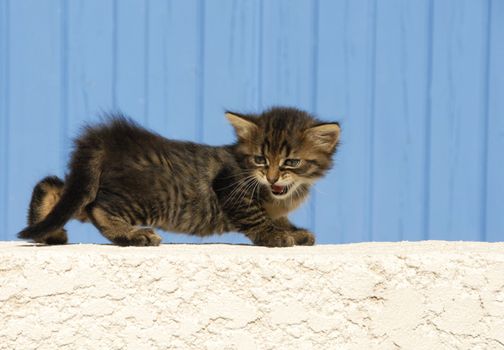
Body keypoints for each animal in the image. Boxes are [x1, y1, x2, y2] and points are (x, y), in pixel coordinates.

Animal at [17, 106, 340, 246]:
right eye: (260, 159)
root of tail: (108, 140)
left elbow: (279, 217)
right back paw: (132, 235)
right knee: (97, 208)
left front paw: (294, 231)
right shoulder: (229, 186)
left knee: (54, 187)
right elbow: (256, 217)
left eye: (291, 162)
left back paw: (48, 231)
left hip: (90, 184)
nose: (272, 178)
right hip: (145, 197)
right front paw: (274, 236)